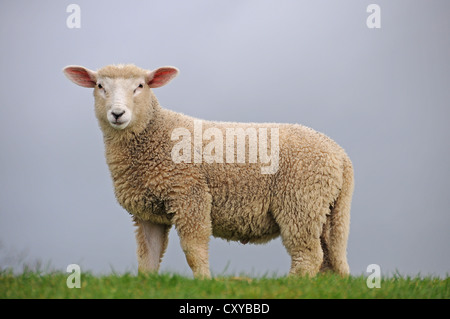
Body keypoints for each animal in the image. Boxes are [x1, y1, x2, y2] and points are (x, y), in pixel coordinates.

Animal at [62, 63, 356, 278]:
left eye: (140, 86)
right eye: (100, 86)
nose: (117, 114)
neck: (154, 133)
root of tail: (340, 155)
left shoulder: (189, 194)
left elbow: (194, 249)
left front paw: (204, 281)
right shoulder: (148, 213)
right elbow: (148, 258)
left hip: (301, 201)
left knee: (309, 256)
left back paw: (290, 285)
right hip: (328, 209)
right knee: (330, 257)